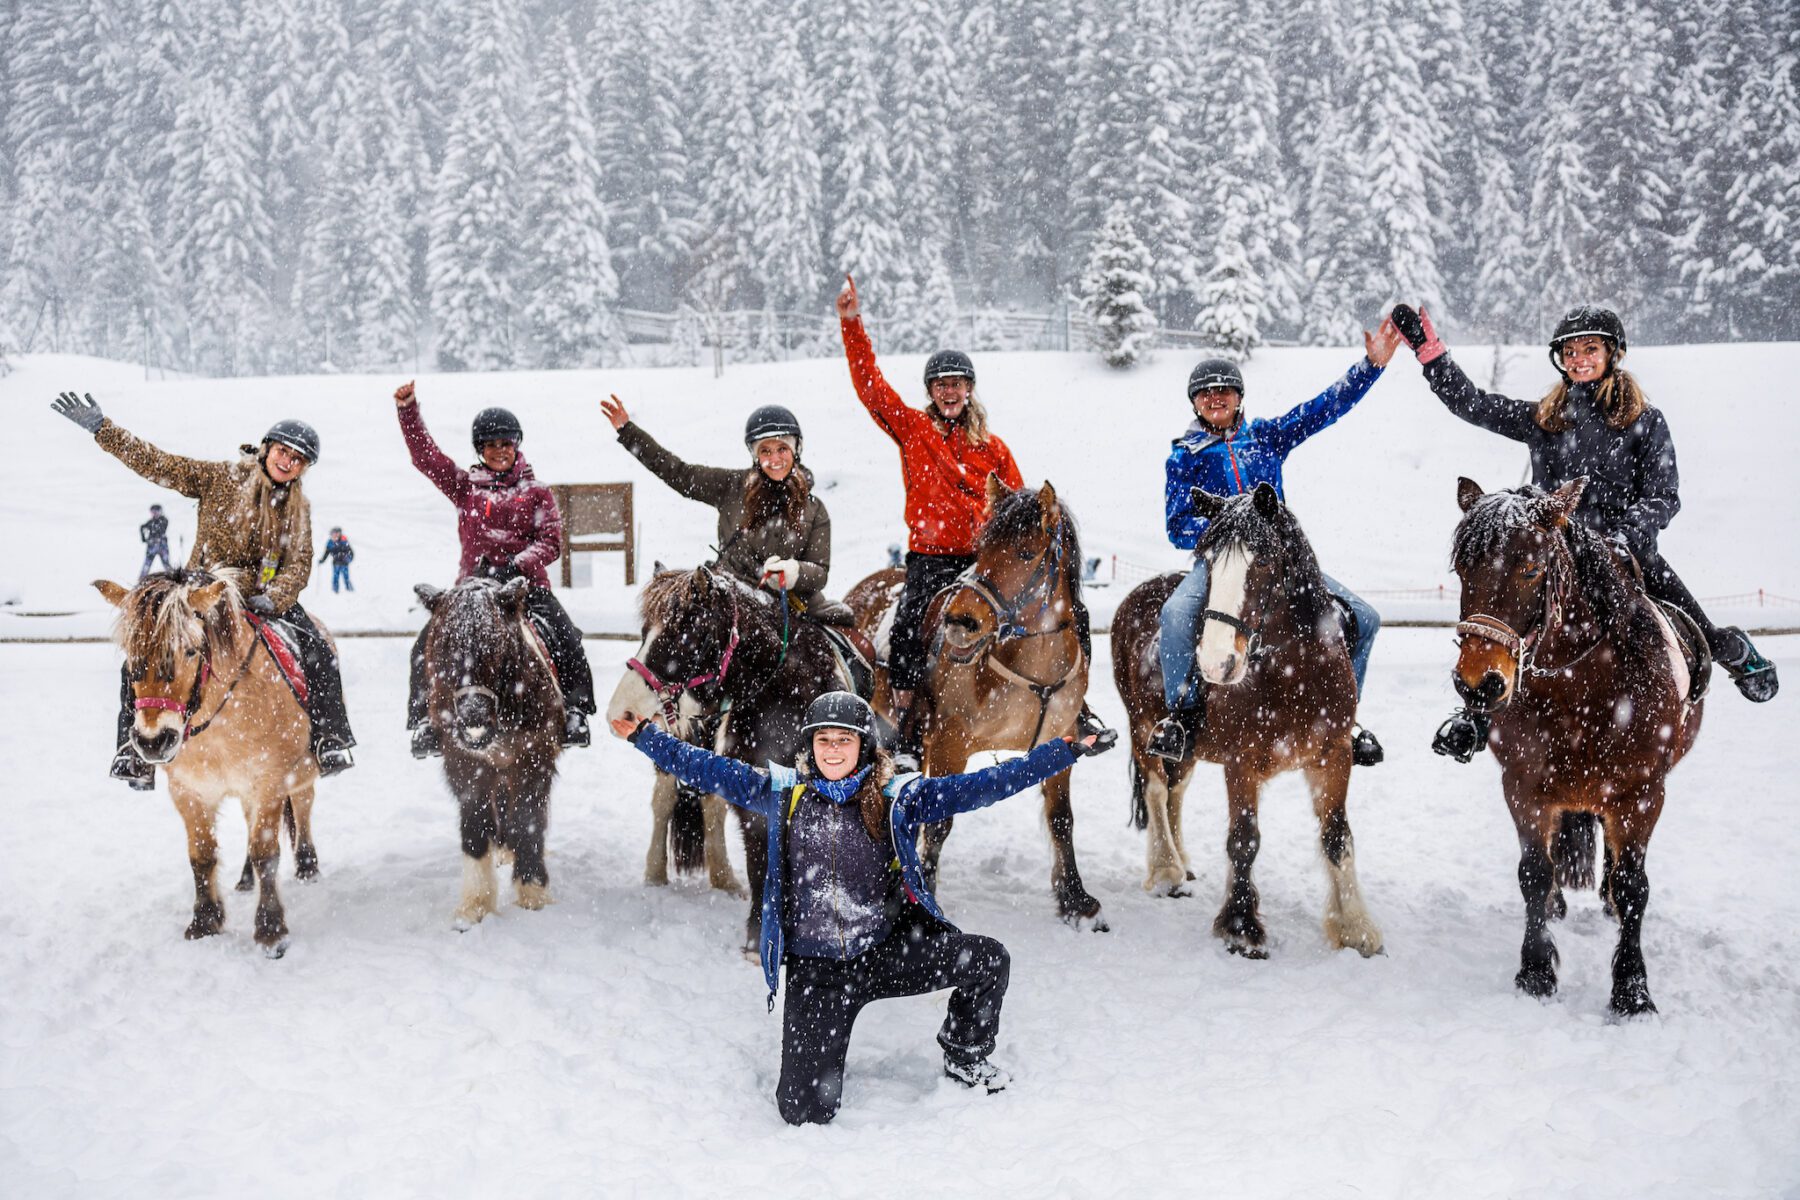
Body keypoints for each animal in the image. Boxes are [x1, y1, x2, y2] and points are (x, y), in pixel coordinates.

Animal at [98, 572, 325, 957]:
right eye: (131, 653)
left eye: (190, 650)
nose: (153, 742)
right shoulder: (188, 789)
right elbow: (201, 855)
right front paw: (205, 921)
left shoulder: (269, 781)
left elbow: (266, 851)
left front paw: (271, 930)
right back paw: (245, 880)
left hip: (301, 772)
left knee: (303, 807)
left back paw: (308, 867)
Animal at [417, 572, 565, 928]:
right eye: (443, 648)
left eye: (497, 647)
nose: (474, 722)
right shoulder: (465, 766)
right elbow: (475, 826)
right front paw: (475, 905)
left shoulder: (534, 761)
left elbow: (527, 821)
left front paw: (532, 892)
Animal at [608, 564, 853, 957]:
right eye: (644, 634)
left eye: (682, 638)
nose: (620, 712)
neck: (784, 699)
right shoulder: (753, 800)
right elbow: (760, 861)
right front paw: (757, 938)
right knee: (667, 801)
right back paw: (658, 872)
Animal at [846, 478, 1108, 928]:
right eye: (982, 548)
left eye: (1026, 552)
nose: (961, 622)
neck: (1032, 672)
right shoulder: (951, 743)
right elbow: (938, 820)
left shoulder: (1060, 742)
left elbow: (1062, 819)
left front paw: (1076, 899)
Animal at [1108, 482, 1375, 964]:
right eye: (1208, 563)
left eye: (1264, 561)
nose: (1216, 663)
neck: (1293, 673)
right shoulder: (1241, 763)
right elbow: (1244, 839)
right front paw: (1241, 928)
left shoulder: (1335, 755)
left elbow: (1336, 835)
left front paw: (1355, 928)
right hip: (1142, 725)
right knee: (1156, 790)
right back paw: (1166, 869)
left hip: (1188, 750)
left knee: (1175, 792)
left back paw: (1183, 863)